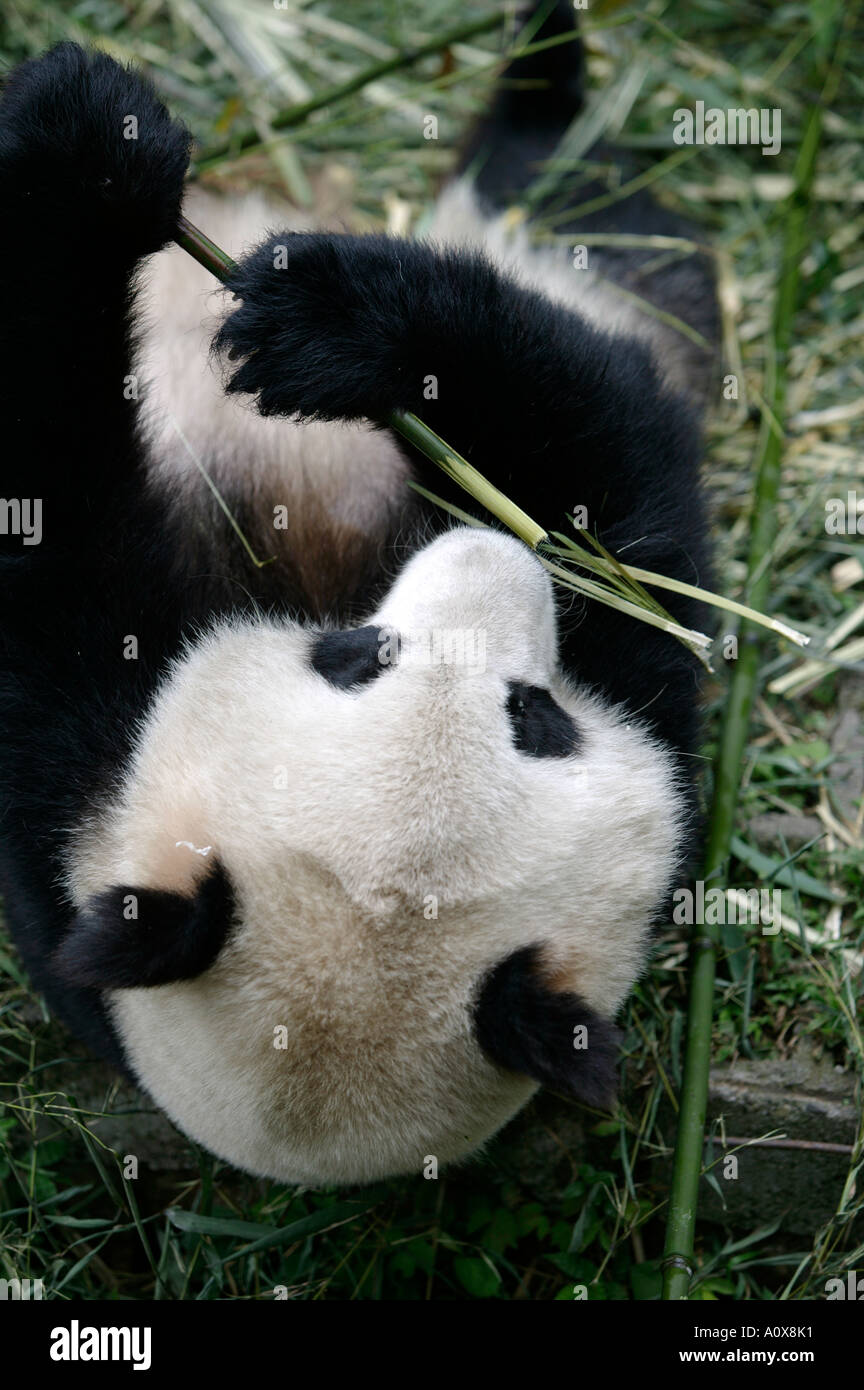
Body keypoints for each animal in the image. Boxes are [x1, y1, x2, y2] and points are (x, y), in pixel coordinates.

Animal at [0, 5, 716, 1189]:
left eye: (538, 716)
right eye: (355, 657)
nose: (491, 555)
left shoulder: (661, 704)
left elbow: (619, 498)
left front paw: (335, 320)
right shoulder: (62, 794)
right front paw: (95, 153)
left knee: (575, 200)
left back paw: (543, 77)